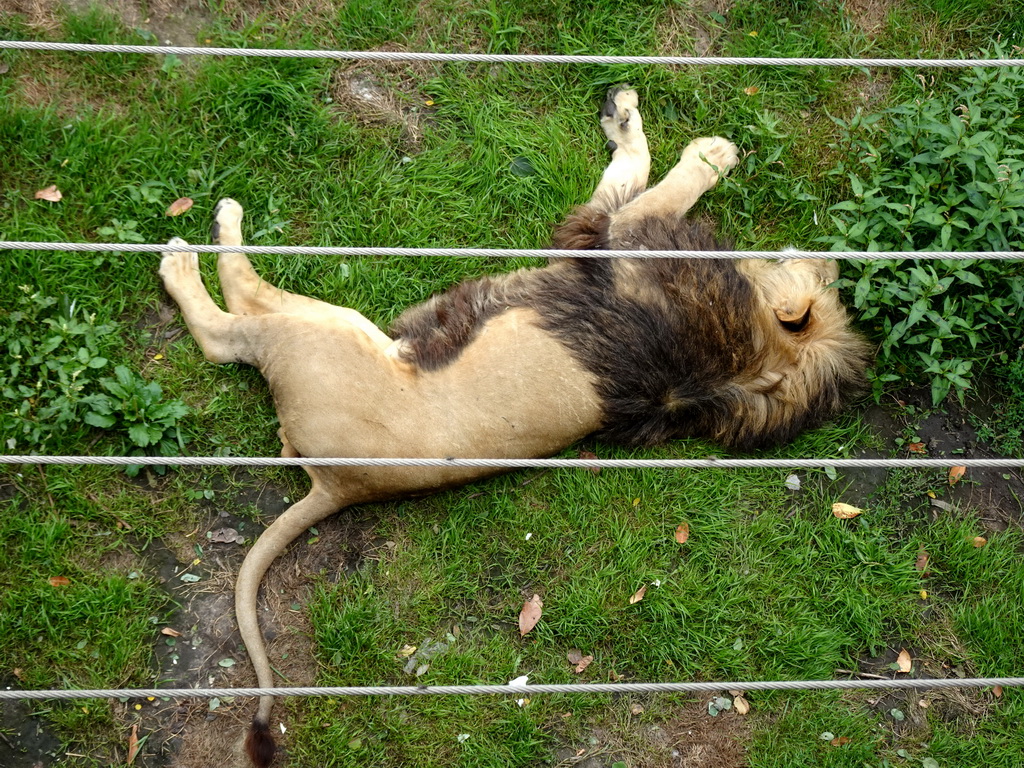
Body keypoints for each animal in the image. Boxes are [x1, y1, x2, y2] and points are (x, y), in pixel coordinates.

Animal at [159, 87, 872, 765]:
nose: (836, 261)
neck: (747, 361)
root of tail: (339, 485)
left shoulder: (615, 236)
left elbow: (662, 183)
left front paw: (708, 152)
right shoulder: (601, 236)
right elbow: (632, 168)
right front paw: (636, 116)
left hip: (326, 335)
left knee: (232, 320)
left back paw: (194, 244)